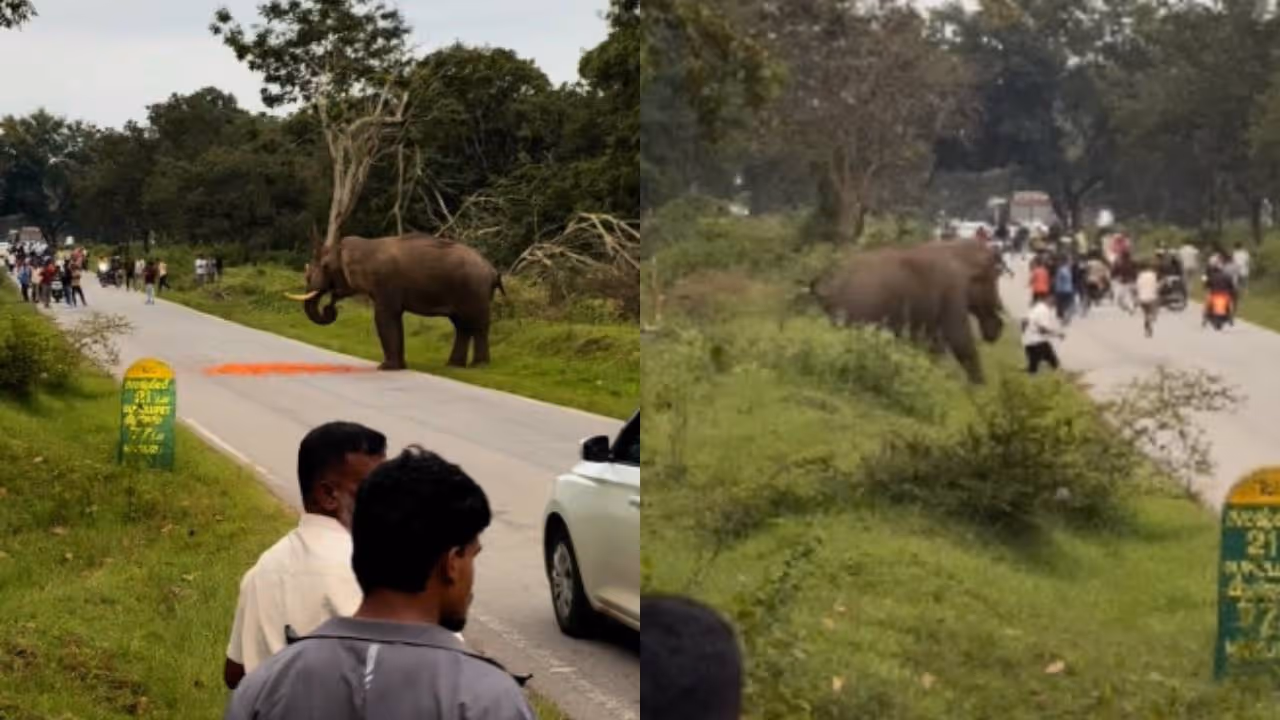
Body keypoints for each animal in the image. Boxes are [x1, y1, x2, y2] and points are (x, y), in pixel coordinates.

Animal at [285, 232, 505, 370]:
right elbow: (394, 319)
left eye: (325, 266)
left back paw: (479, 366)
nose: (330, 307)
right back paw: (454, 366)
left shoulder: (385, 283)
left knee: (477, 324)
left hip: (474, 291)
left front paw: (385, 368)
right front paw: (399, 367)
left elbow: (384, 317)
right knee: (462, 326)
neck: (365, 245)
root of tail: (493, 271)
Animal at [807, 239, 1005, 384]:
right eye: (994, 277)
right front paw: (980, 387)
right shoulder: (953, 289)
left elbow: (933, 343)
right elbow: (958, 336)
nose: (996, 330)